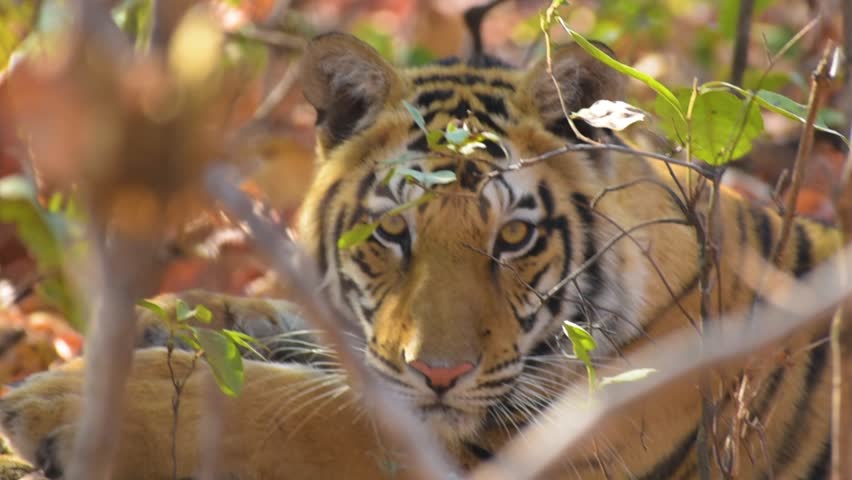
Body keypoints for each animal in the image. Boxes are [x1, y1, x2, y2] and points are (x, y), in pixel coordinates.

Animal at [0, 28, 846, 480]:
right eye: (392, 232)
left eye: (514, 238)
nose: (440, 375)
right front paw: (168, 316)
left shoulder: (498, 446)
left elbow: (291, 409)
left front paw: (55, 404)